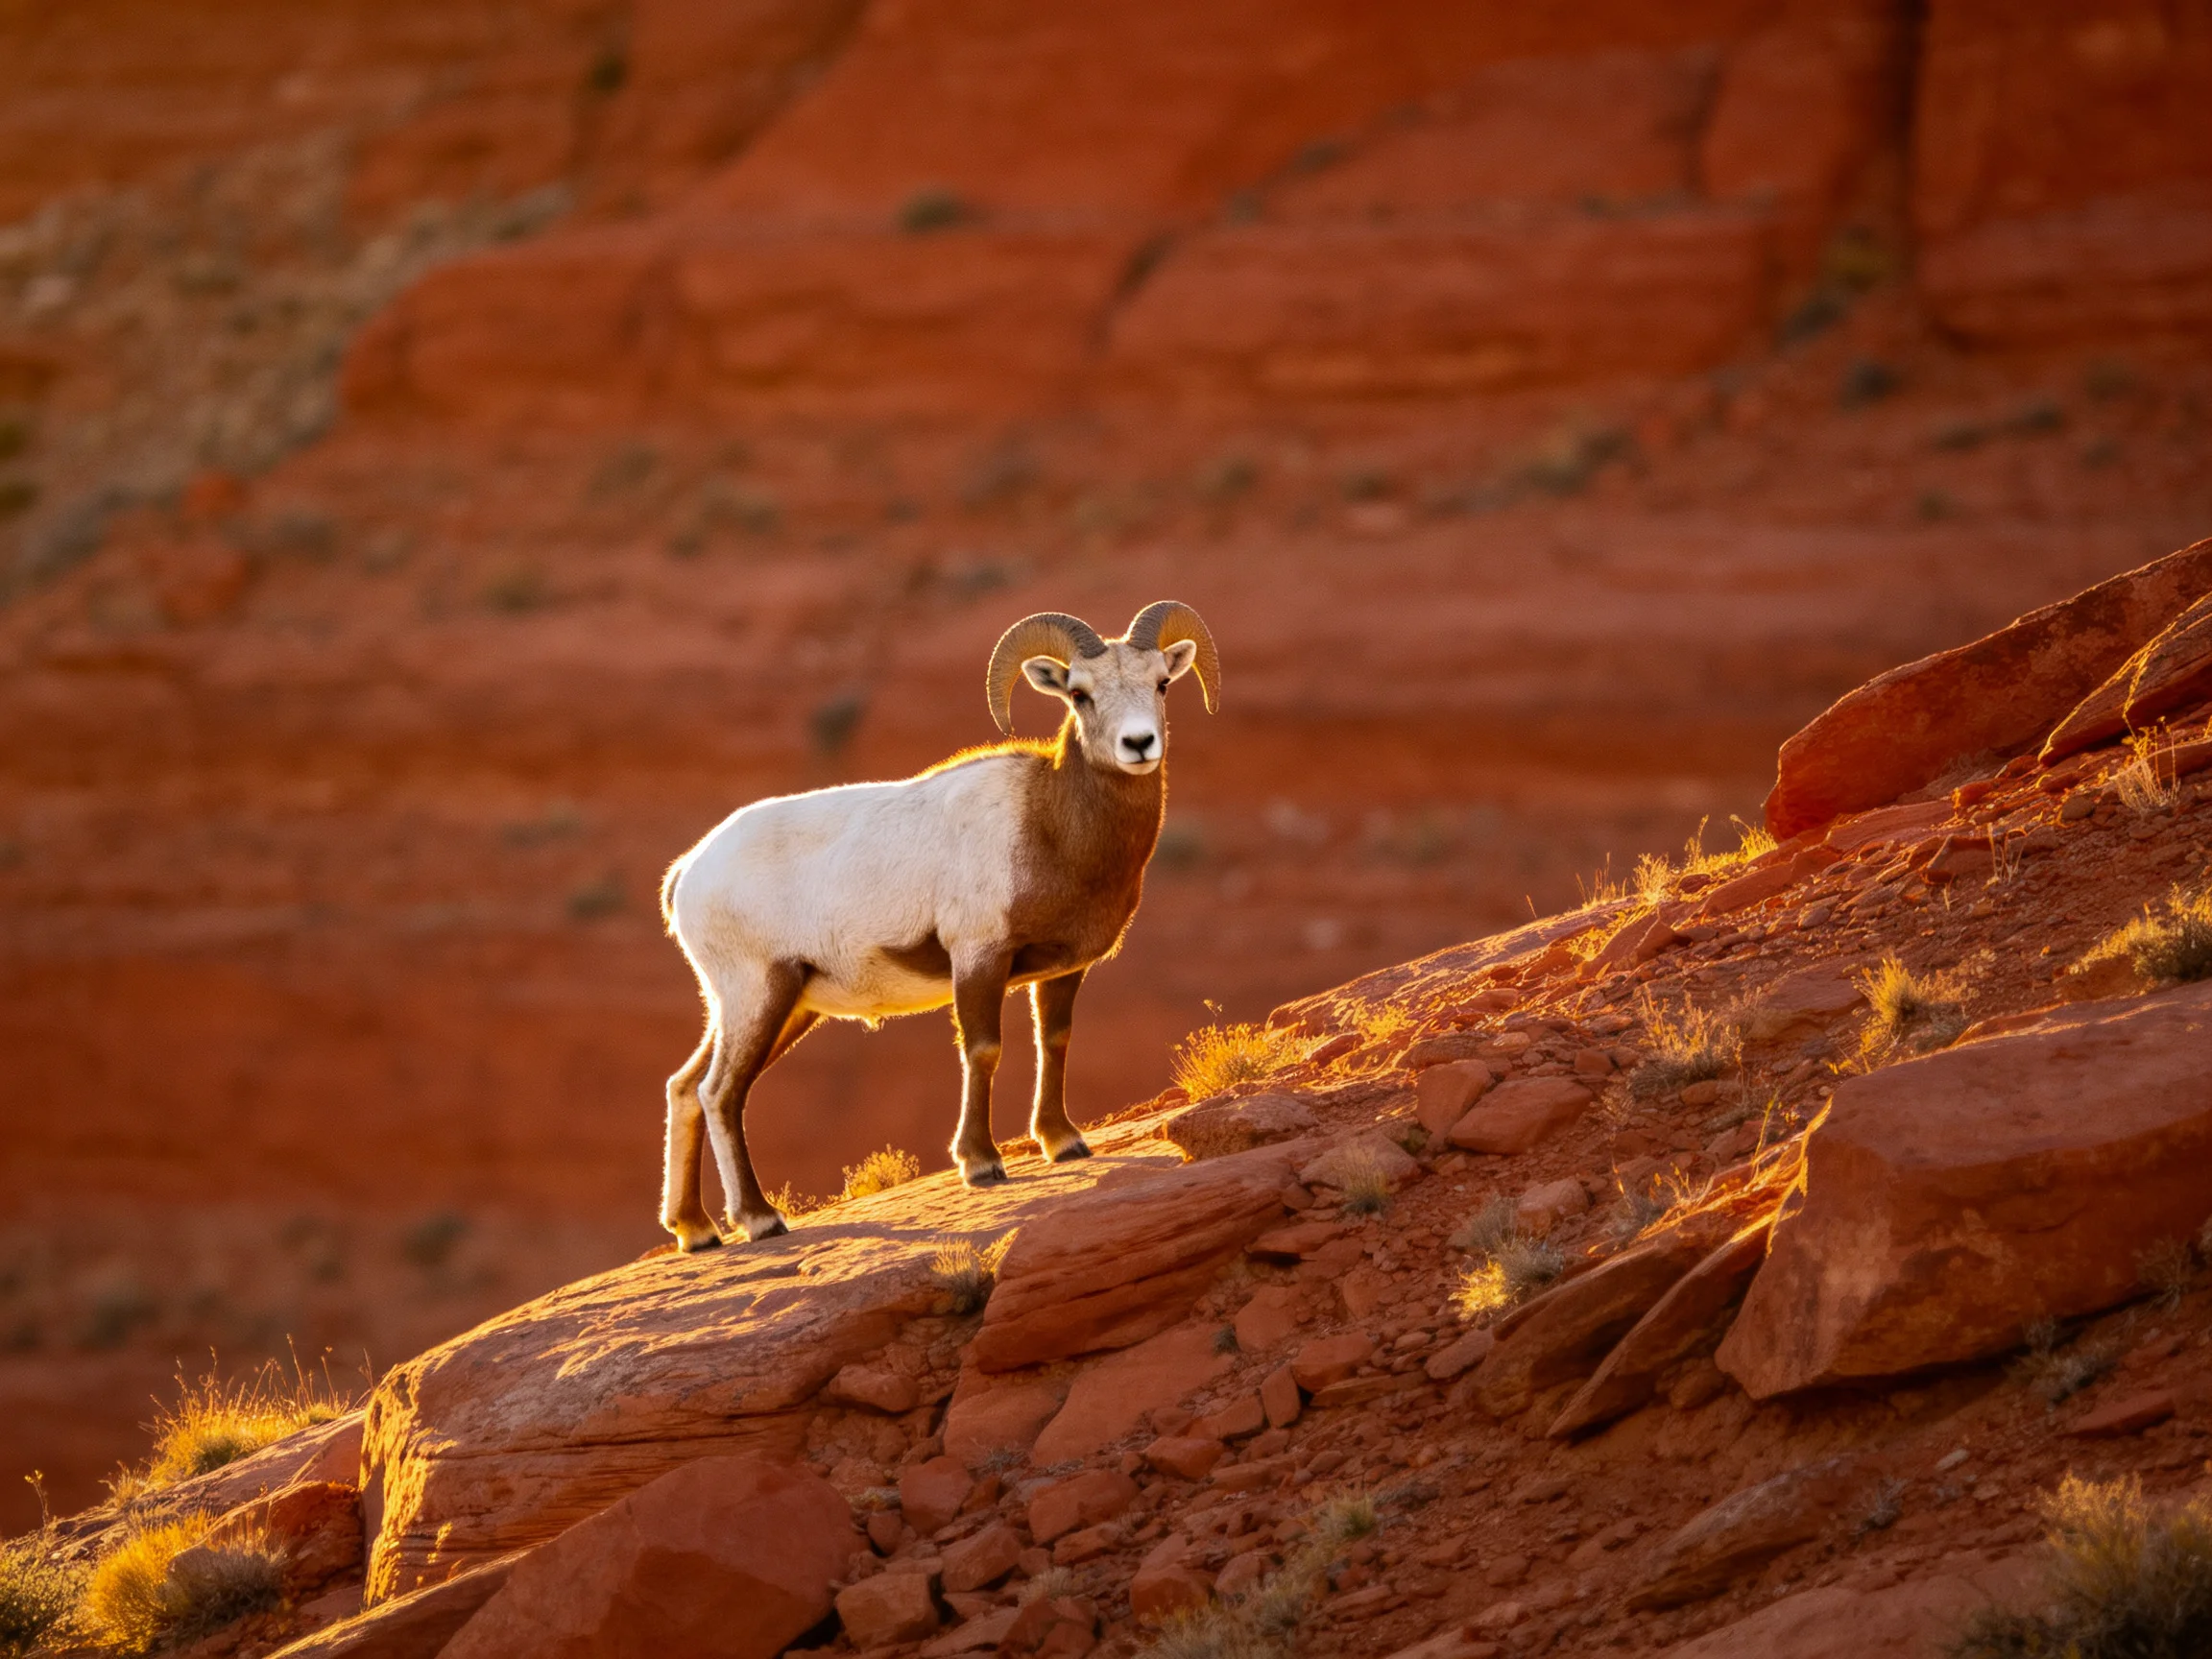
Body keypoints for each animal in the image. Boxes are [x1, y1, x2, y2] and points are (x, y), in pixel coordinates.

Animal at [655, 600, 1222, 1249]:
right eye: (1079, 694)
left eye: (1161, 683)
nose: (1139, 744)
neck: (1049, 825)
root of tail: (688, 872)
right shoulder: (978, 958)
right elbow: (983, 1050)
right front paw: (982, 1164)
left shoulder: (1061, 971)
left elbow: (1054, 1042)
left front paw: (1064, 1143)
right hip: (759, 995)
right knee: (720, 1092)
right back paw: (760, 1219)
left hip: (773, 1007)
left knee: (686, 1088)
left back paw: (696, 1230)